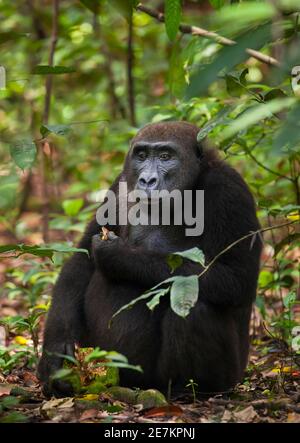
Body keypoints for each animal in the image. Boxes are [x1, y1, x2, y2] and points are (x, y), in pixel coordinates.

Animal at [38, 121, 262, 398]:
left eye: (166, 156)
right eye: (142, 156)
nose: (147, 180)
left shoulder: (229, 190)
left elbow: (235, 279)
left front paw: (121, 256)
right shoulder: (120, 184)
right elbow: (82, 261)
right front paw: (55, 353)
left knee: (192, 302)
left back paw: (192, 389)